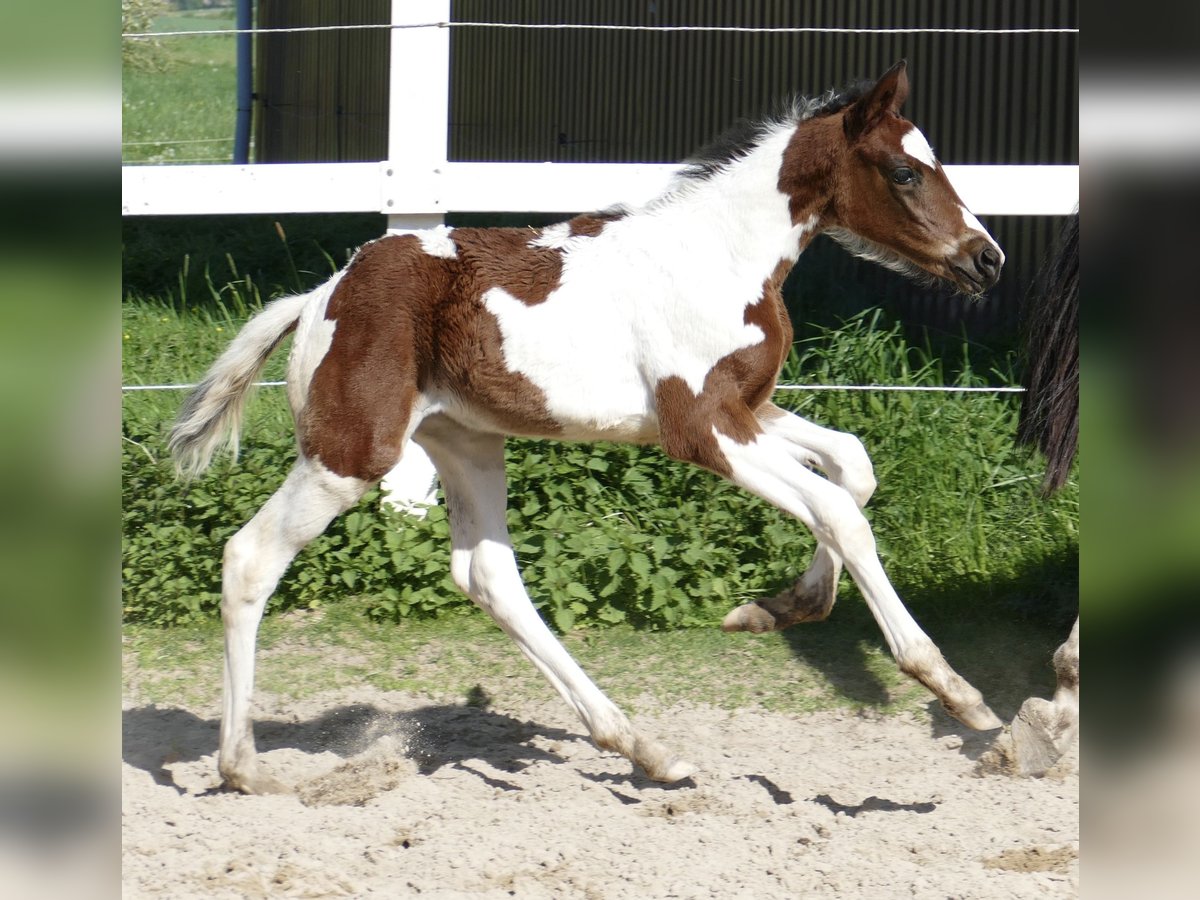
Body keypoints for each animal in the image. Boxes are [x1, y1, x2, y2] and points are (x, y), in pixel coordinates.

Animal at [174, 65, 1008, 796]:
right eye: (904, 173)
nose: (987, 260)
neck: (718, 257)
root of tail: (320, 295)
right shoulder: (701, 427)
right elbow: (837, 509)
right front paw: (955, 691)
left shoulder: (747, 409)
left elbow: (852, 467)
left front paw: (776, 609)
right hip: (349, 454)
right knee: (249, 559)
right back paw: (243, 768)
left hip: (467, 443)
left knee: (489, 577)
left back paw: (643, 748)